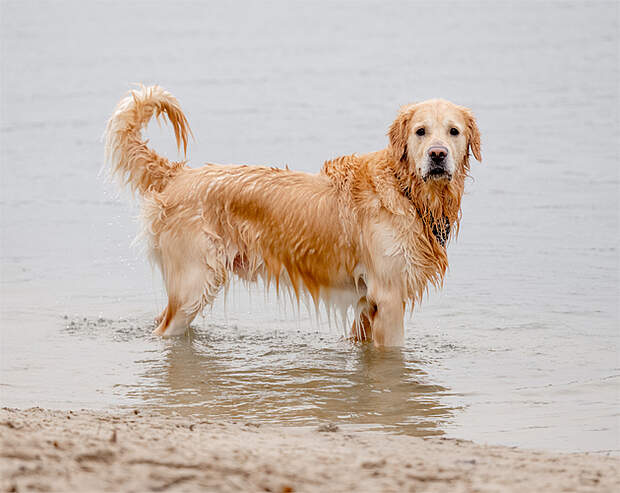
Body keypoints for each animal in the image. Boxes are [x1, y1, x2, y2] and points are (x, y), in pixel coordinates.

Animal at [105, 85, 480, 346]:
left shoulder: (367, 305)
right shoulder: (388, 298)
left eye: (453, 131)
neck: (407, 192)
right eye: (420, 131)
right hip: (193, 283)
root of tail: (178, 174)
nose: (437, 155)